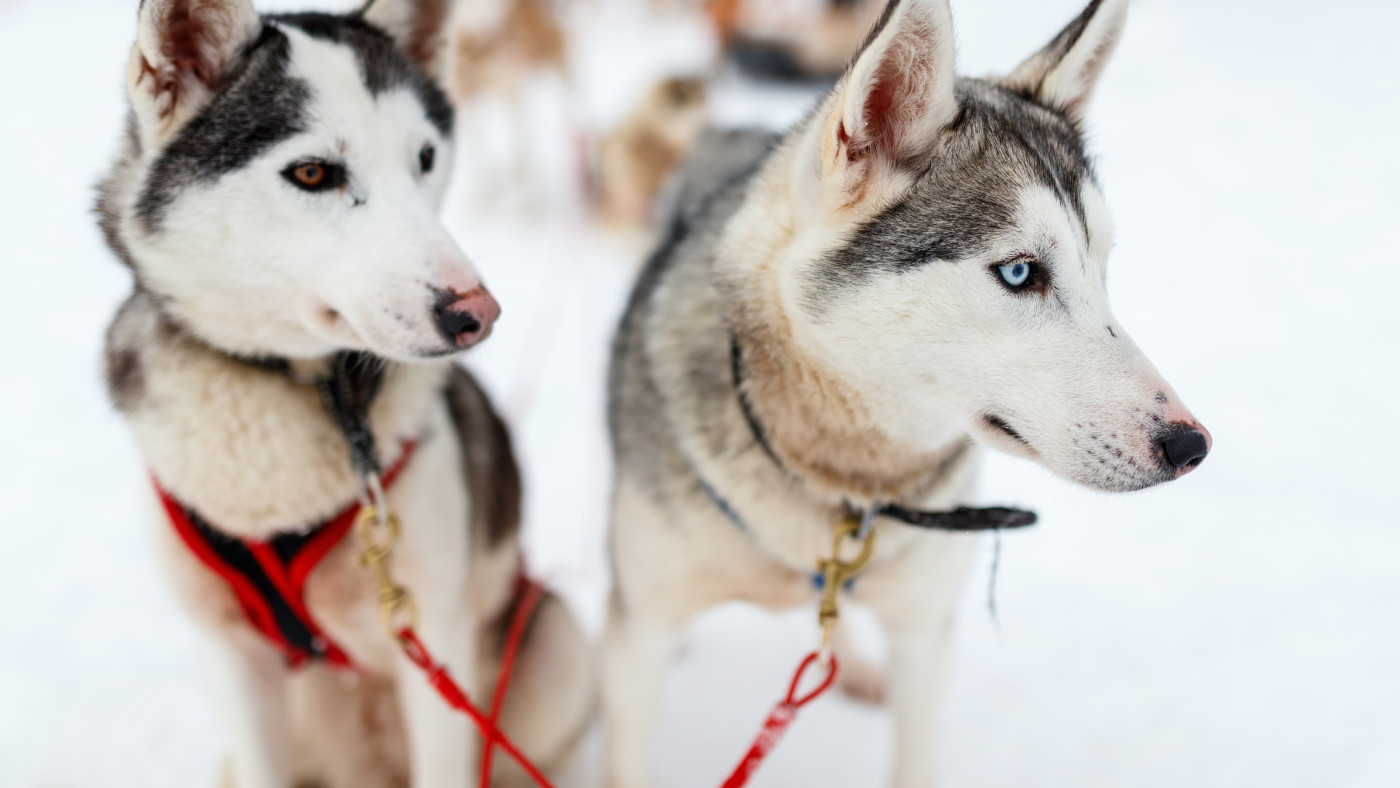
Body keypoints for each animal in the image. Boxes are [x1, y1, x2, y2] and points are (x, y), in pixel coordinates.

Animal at [97, 1, 592, 786]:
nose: (477, 313)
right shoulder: (234, 658)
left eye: (425, 159)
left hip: (551, 640)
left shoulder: (436, 641)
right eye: (312, 172)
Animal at [603, 0, 1212, 785]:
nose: (1191, 445)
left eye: (1101, 268)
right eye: (1020, 273)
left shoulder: (925, 635)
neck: (843, 481)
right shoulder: (636, 644)